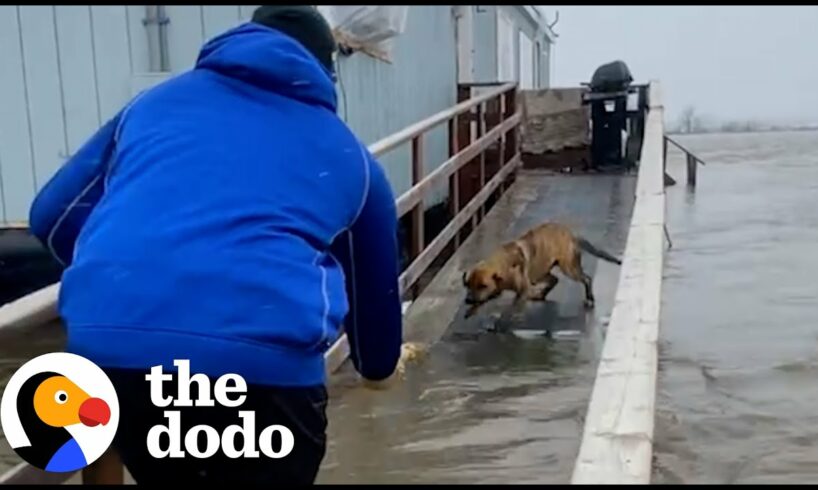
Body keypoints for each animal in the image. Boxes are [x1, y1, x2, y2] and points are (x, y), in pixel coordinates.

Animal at [460, 222, 620, 318]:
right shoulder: (496, 289)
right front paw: (472, 310)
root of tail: (572, 236)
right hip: (539, 274)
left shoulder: (522, 290)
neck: (504, 264)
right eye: (468, 285)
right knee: (554, 279)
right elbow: (483, 300)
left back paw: (590, 298)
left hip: (569, 268)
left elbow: (511, 309)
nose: (467, 300)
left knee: (586, 278)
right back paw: (541, 294)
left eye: (482, 285)